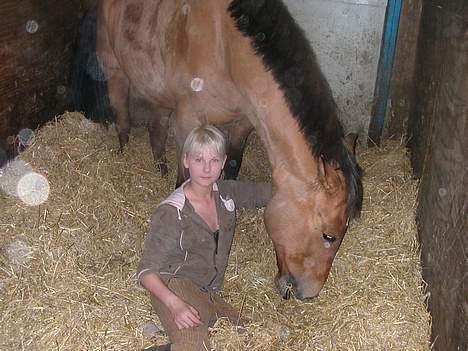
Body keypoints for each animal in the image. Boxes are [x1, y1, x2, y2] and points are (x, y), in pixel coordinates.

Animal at [97, 0, 364, 300]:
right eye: (329, 235)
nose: (308, 293)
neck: (227, 49)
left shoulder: (244, 121)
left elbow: (233, 166)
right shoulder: (189, 121)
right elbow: (184, 181)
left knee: (157, 124)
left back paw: (159, 165)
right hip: (114, 68)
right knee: (122, 114)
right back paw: (124, 152)